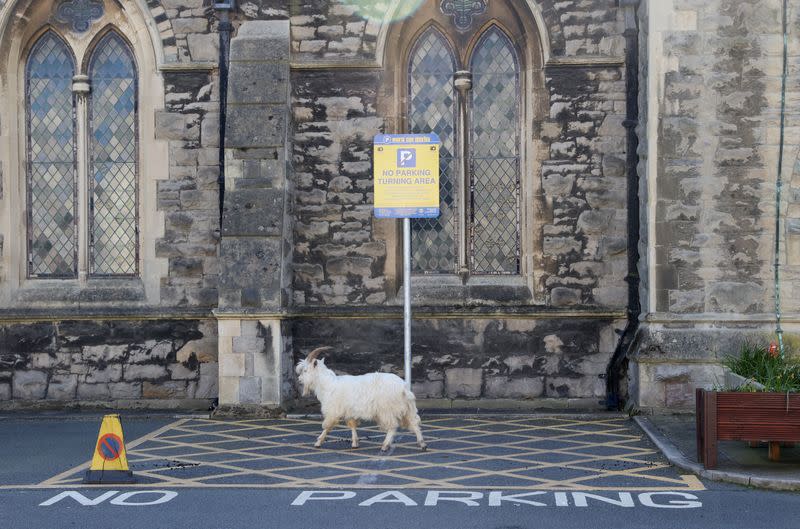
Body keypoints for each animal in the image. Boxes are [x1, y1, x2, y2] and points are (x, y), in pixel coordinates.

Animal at [296, 346, 432, 450]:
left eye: (305, 370)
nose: (299, 380)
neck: (328, 384)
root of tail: (403, 388)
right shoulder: (349, 411)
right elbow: (352, 425)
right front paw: (355, 443)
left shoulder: (334, 411)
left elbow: (327, 426)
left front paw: (318, 442)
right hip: (408, 409)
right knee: (414, 423)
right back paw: (422, 444)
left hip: (387, 410)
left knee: (392, 426)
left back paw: (385, 446)